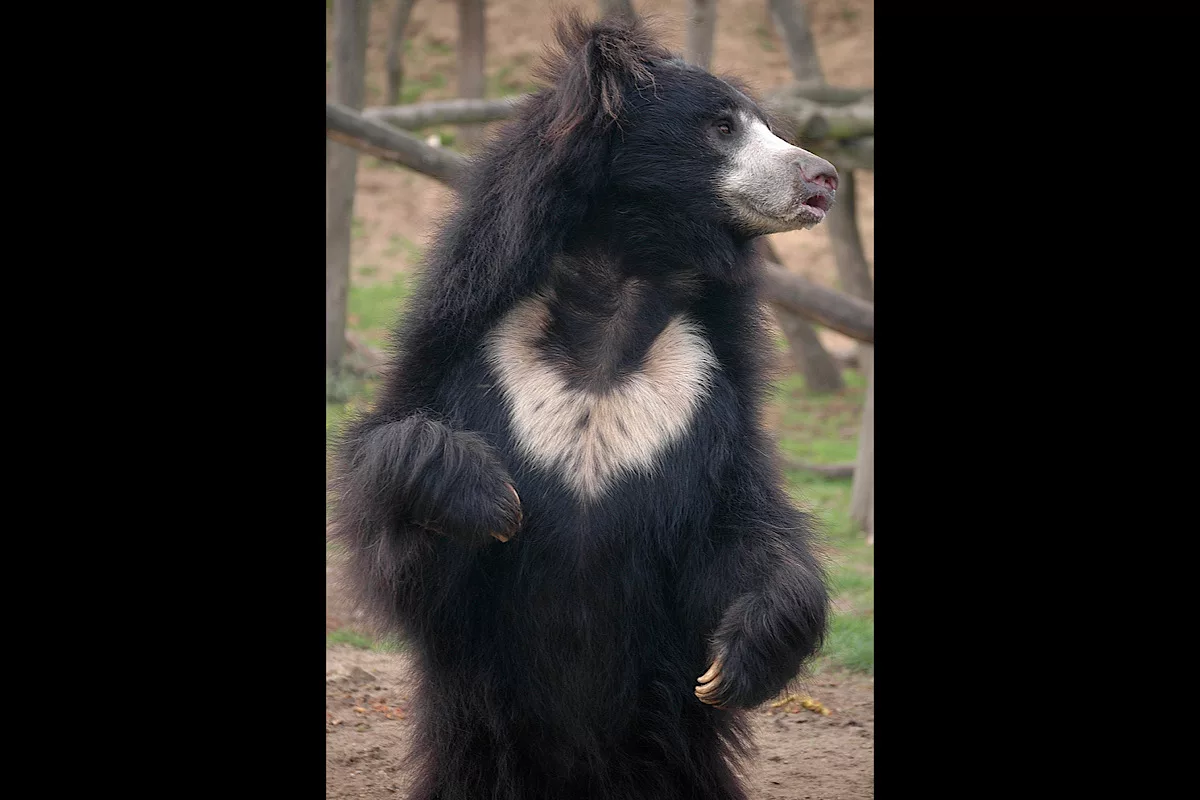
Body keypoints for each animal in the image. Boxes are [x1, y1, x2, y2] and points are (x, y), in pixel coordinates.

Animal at [328, 12, 835, 800]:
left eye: (771, 127)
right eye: (722, 127)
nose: (824, 178)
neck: (618, 282)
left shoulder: (704, 391)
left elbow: (739, 524)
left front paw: (737, 659)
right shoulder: (472, 354)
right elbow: (401, 531)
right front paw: (490, 500)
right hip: (481, 741)